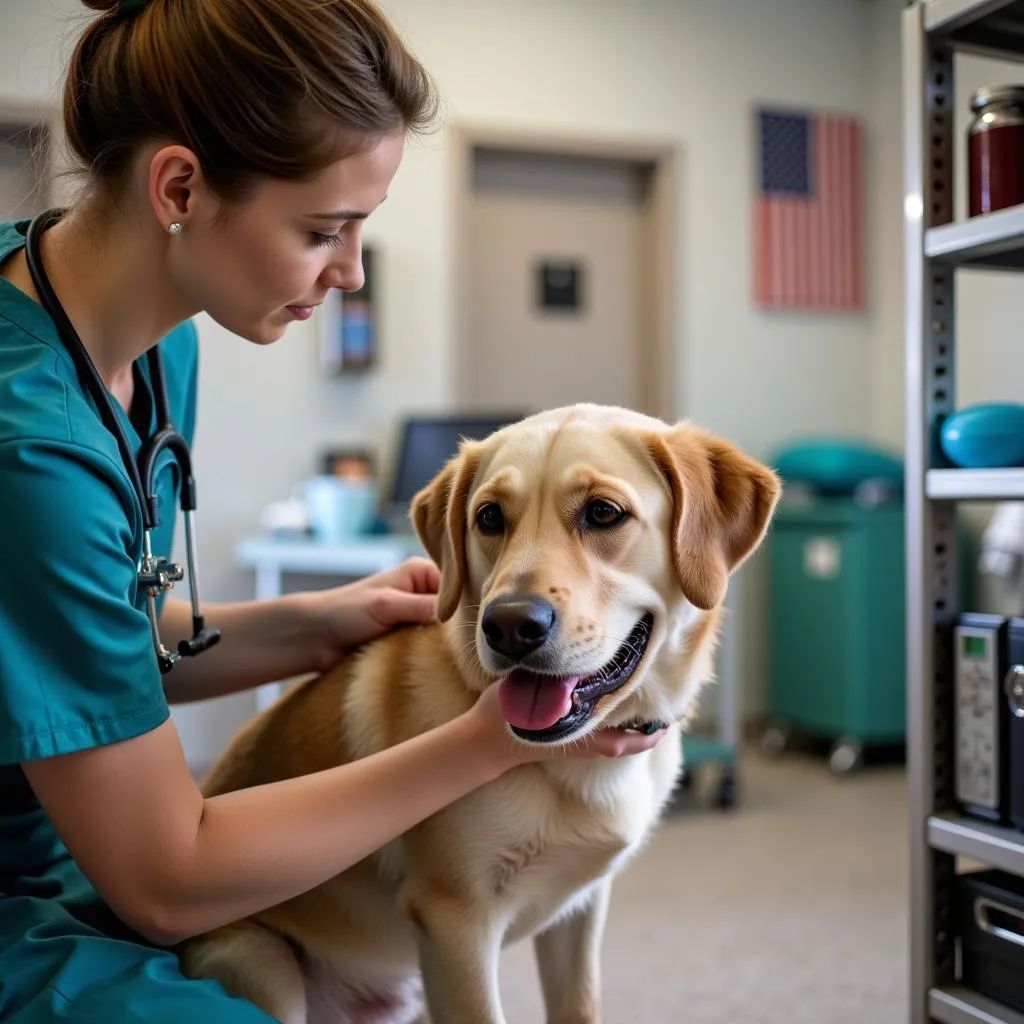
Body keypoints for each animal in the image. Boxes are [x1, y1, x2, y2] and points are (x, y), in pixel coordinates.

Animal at [180, 403, 778, 1019]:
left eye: (603, 513)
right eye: (489, 517)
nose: (510, 625)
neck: (575, 763)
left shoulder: (579, 913)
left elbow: (579, 1004)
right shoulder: (455, 926)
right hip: (258, 960)